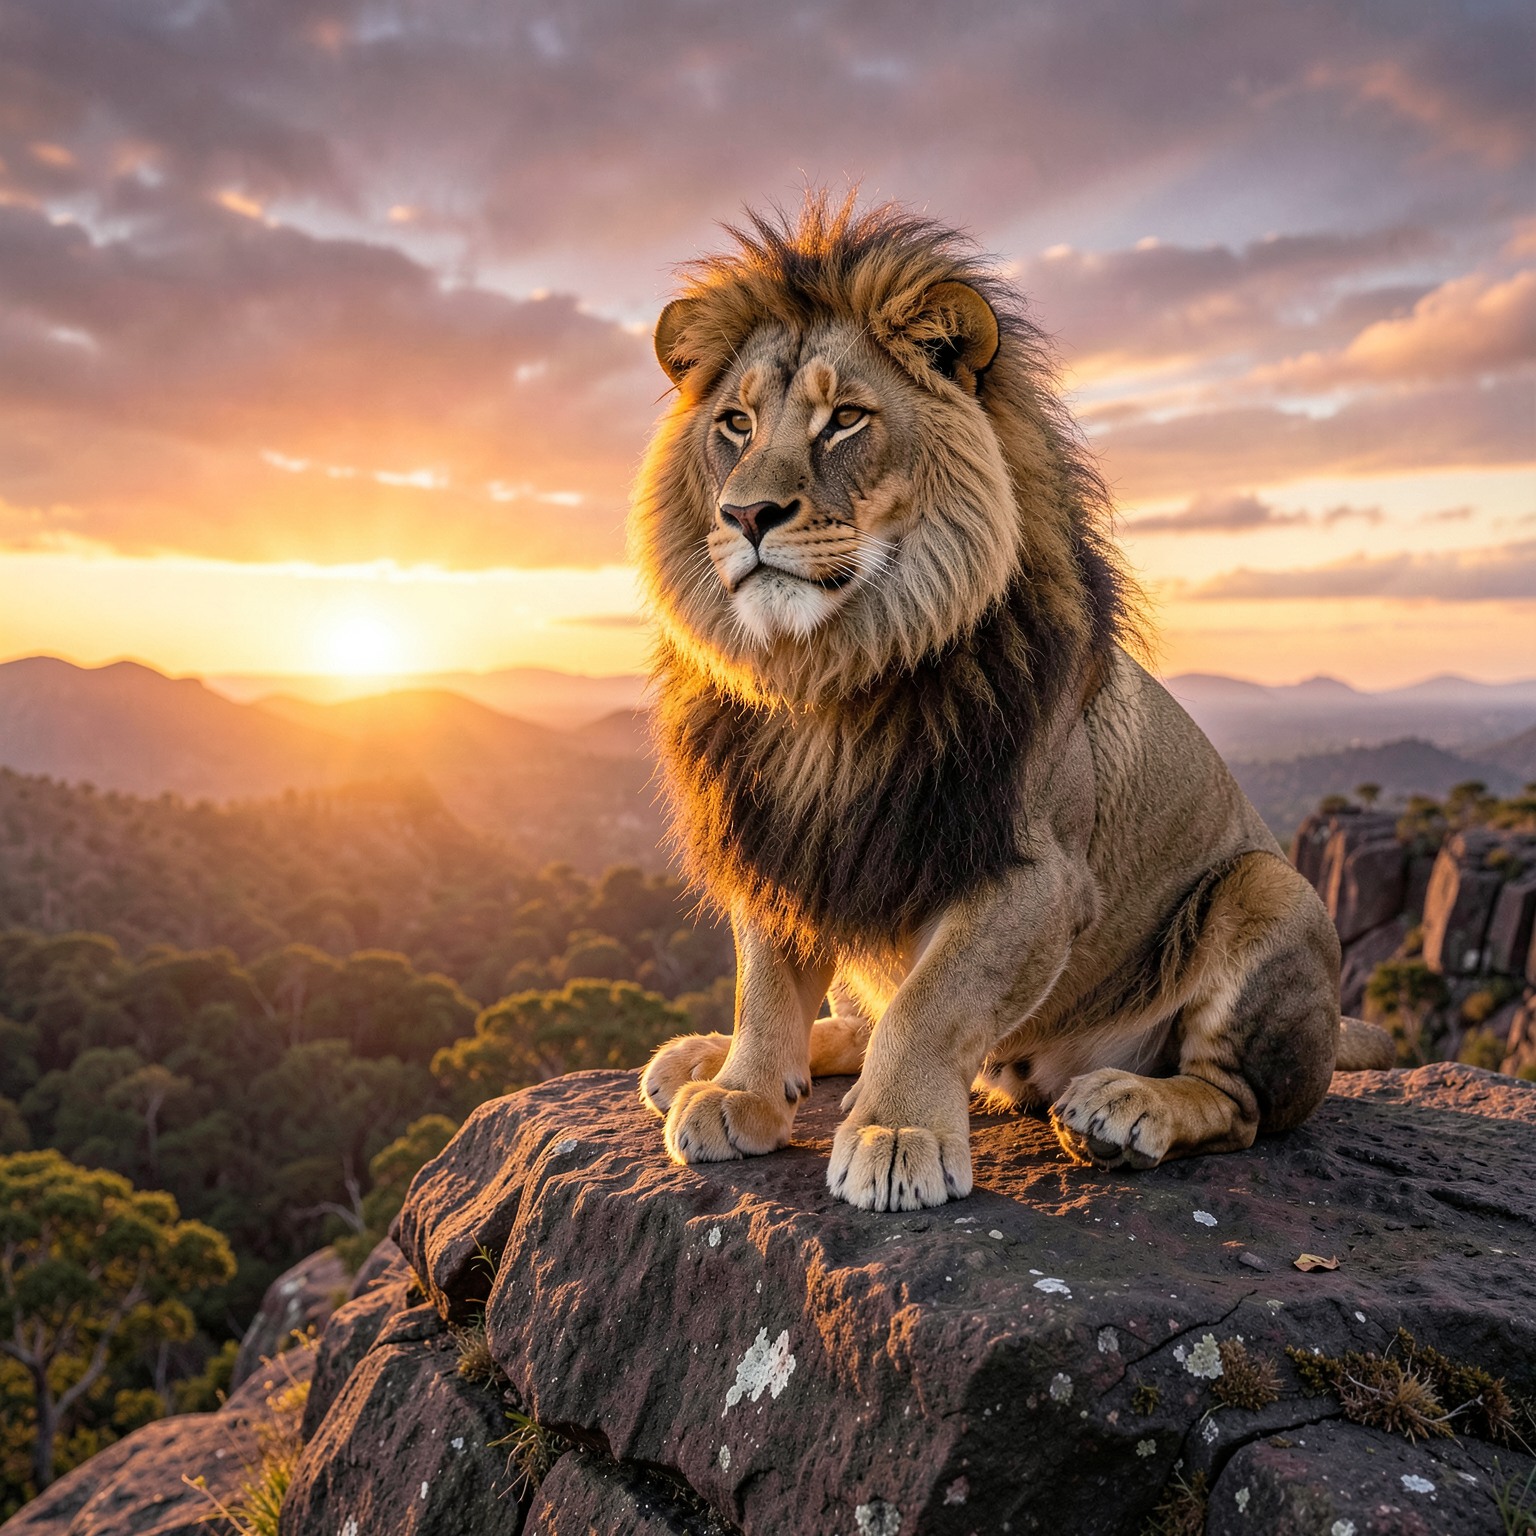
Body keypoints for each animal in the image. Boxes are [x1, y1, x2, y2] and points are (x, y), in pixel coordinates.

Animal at [629, 194, 1393, 1212]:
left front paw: (899, 1134)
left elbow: (932, 1004)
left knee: (1244, 1104)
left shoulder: (1031, 872)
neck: (828, 678)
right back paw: (698, 1061)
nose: (747, 515)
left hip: (1274, 890)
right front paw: (742, 1091)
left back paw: (1125, 1107)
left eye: (845, 421)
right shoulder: (781, 839)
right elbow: (768, 981)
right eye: (736, 424)